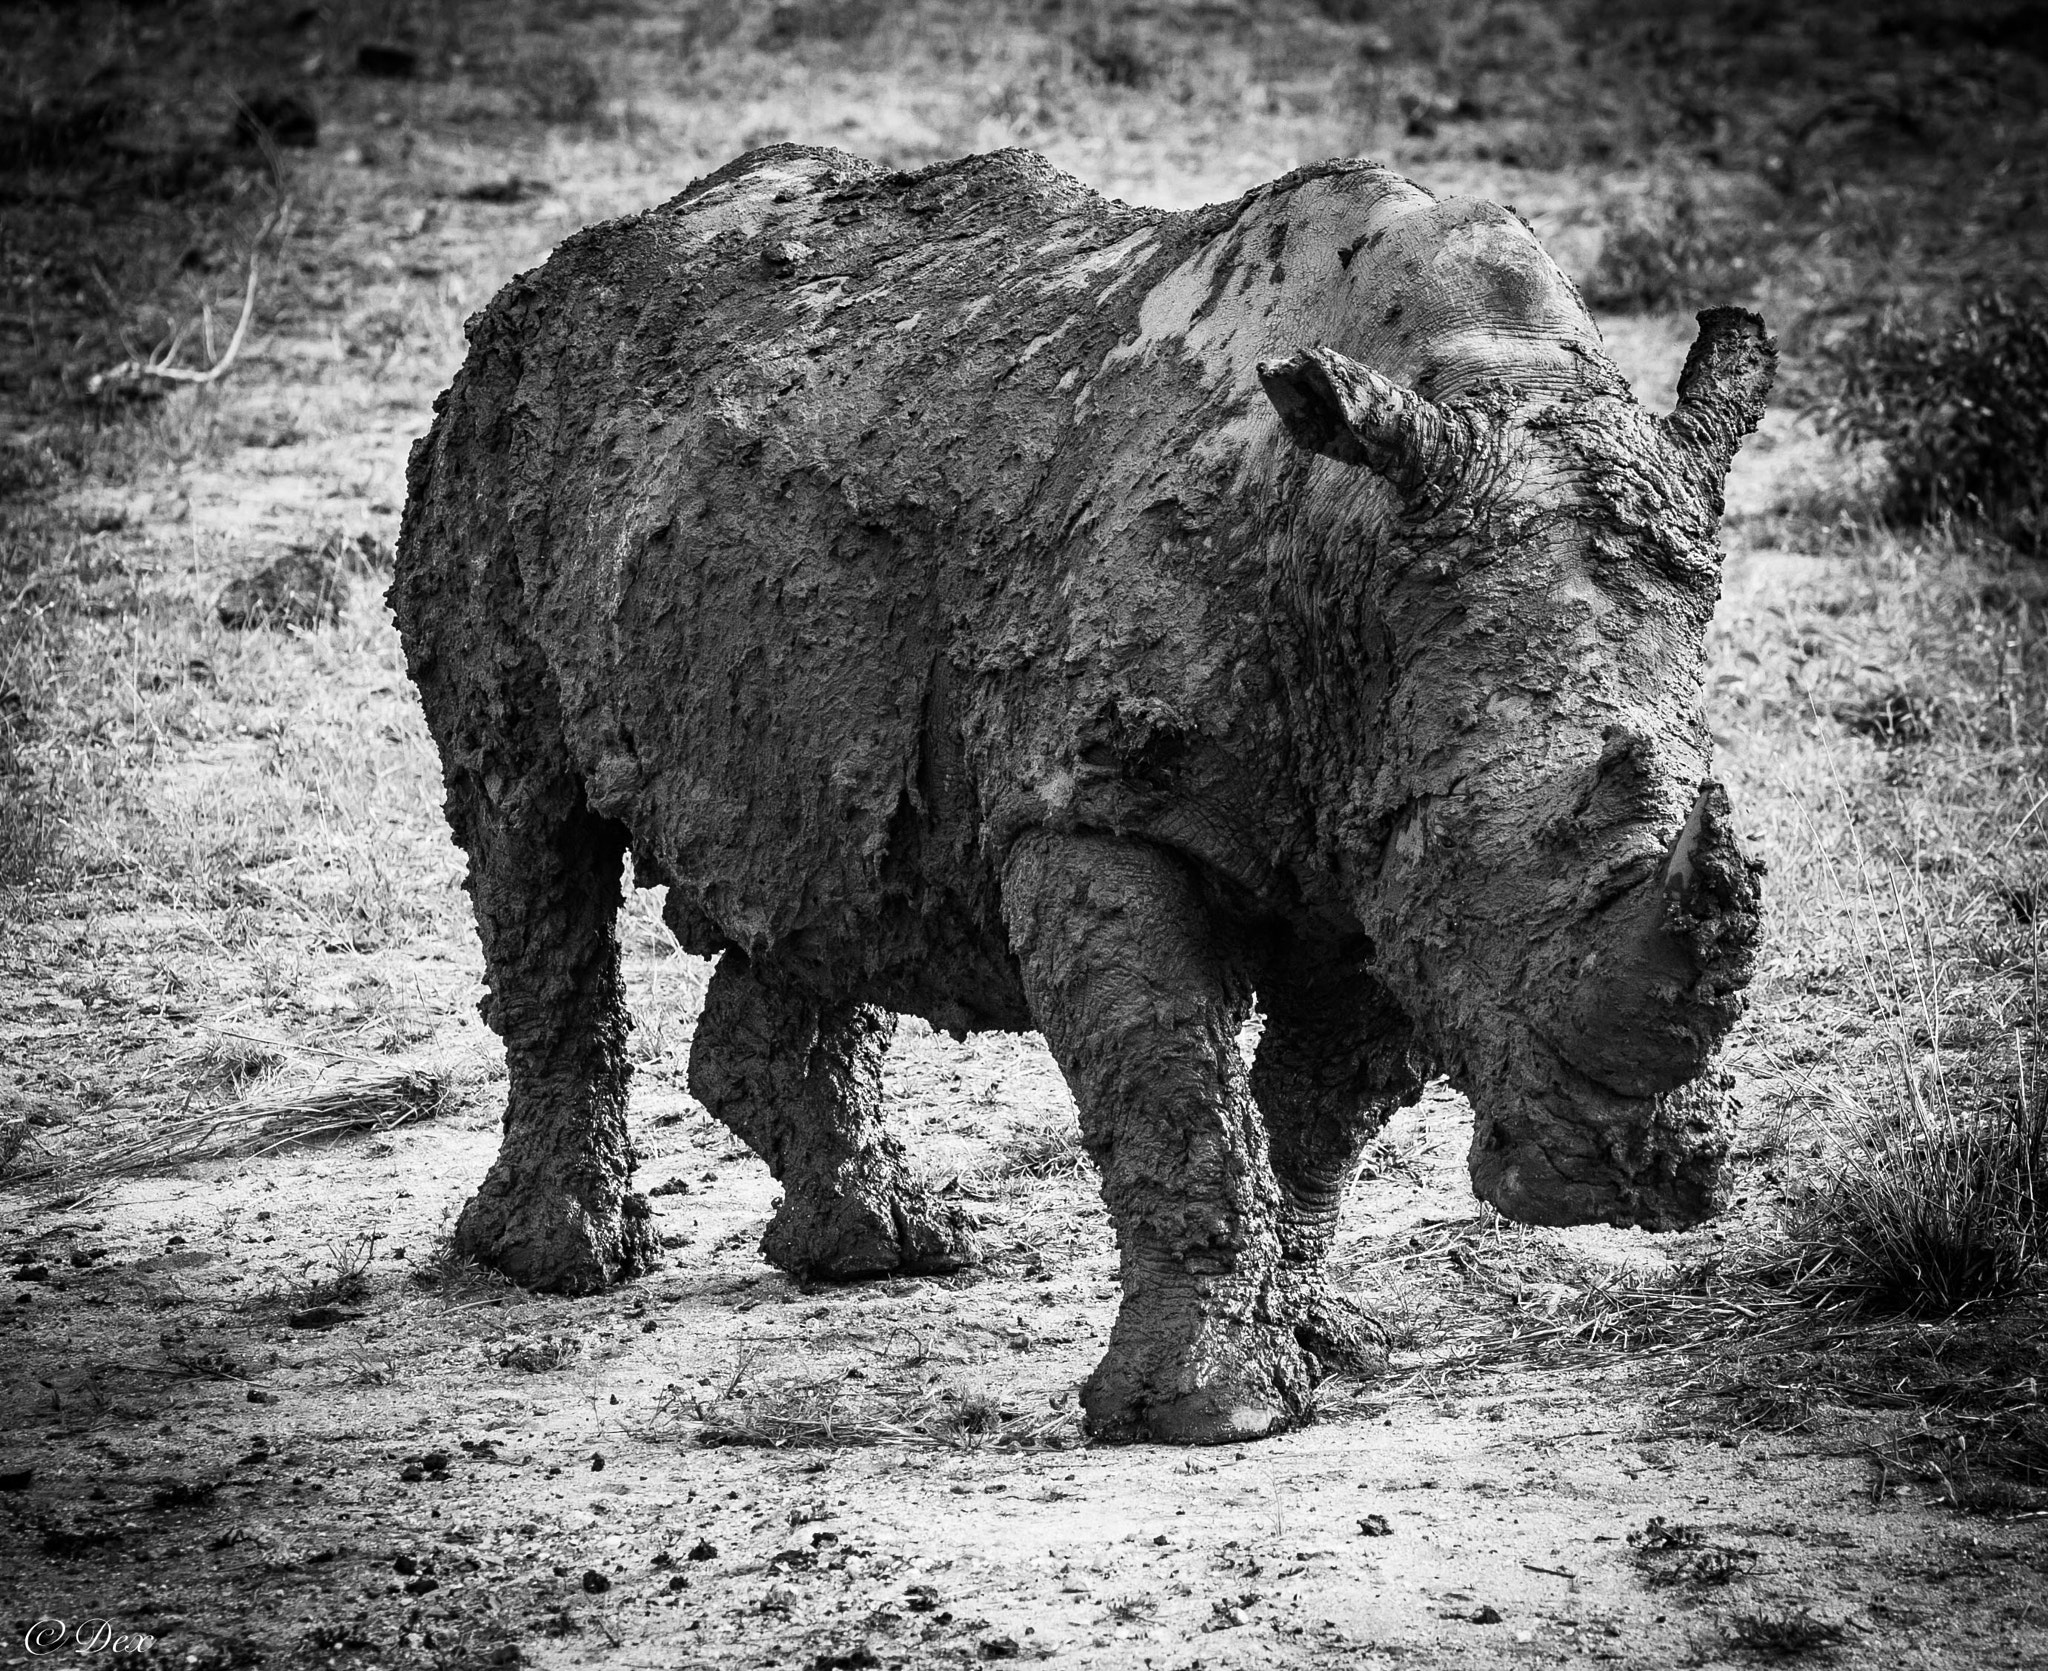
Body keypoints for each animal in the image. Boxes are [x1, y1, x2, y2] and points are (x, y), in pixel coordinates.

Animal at [392, 143, 1770, 1444]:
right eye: (1511, 857)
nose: (1644, 1180)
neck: (1358, 543)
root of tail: (574, 258)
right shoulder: (1096, 808)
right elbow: (1171, 1088)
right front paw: (1213, 1411)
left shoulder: (1370, 825)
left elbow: (1312, 1116)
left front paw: (1321, 1343)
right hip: (500, 432)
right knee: (527, 823)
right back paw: (561, 1263)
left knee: (818, 858)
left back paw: (881, 1247)